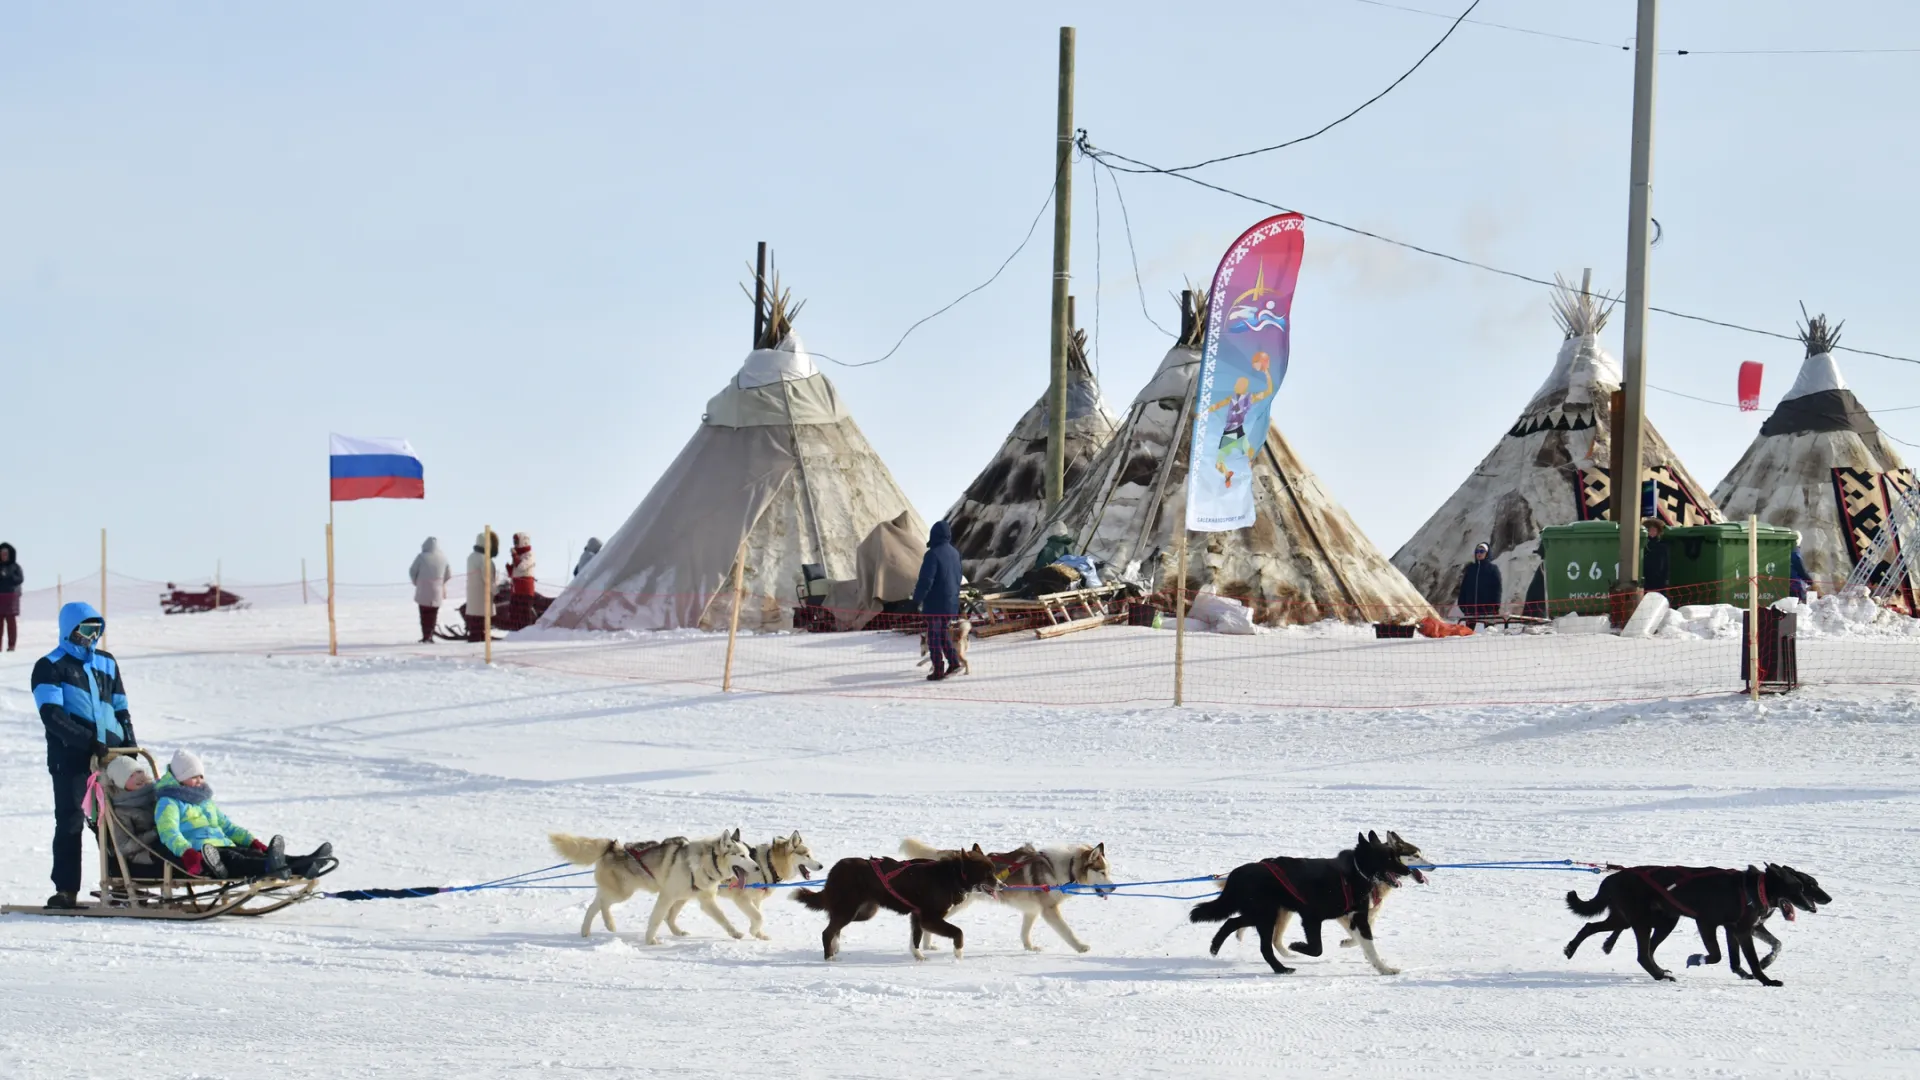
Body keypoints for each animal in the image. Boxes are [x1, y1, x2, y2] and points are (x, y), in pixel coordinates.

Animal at [549, 822, 756, 941]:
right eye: (741, 856)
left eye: (748, 854)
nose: (756, 868)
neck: (705, 862)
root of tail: (613, 847)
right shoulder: (667, 896)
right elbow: (657, 919)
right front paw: (650, 940)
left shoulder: (694, 899)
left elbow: (721, 918)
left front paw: (735, 933)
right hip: (623, 892)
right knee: (602, 904)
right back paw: (609, 924)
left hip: (617, 890)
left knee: (594, 906)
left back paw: (588, 930)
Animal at [794, 841, 1006, 957]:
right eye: (988, 873)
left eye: (993, 871)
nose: (1002, 885)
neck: (952, 874)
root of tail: (835, 870)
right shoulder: (929, 918)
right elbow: (958, 932)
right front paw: (958, 952)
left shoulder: (918, 916)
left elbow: (916, 938)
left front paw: (918, 955)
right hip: (848, 909)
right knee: (827, 932)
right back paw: (829, 957)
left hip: (862, 911)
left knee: (834, 928)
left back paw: (835, 948)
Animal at [906, 834, 1121, 949]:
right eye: (1102, 872)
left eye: (1109, 871)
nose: (1114, 887)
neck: (1063, 868)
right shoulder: (1049, 910)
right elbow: (1067, 931)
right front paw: (1080, 947)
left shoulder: (1032, 910)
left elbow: (1025, 932)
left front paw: (1030, 947)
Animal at [1182, 826, 1428, 972]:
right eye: (1389, 858)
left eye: (1397, 856)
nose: (1406, 871)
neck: (1352, 874)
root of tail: (1237, 873)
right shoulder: (1311, 918)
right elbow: (1316, 948)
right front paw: (1297, 945)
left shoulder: (1358, 918)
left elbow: (1369, 947)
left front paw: (1384, 969)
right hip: (1266, 915)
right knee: (1263, 945)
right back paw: (1281, 969)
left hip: (1262, 914)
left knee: (1232, 923)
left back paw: (1215, 947)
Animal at [1566, 857, 1820, 983]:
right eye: (1799, 887)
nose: (1813, 906)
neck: (1751, 889)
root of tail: (1612, 878)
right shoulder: (1710, 924)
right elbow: (1732, 958)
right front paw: (1766, 980)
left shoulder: (1733, 929)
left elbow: (1735, 959)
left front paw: (1743, 973)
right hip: (1642, 922)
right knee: (1642, 955)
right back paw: (1660, 976)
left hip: (1647, 921)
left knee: (1592, 927)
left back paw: (1571, 948)